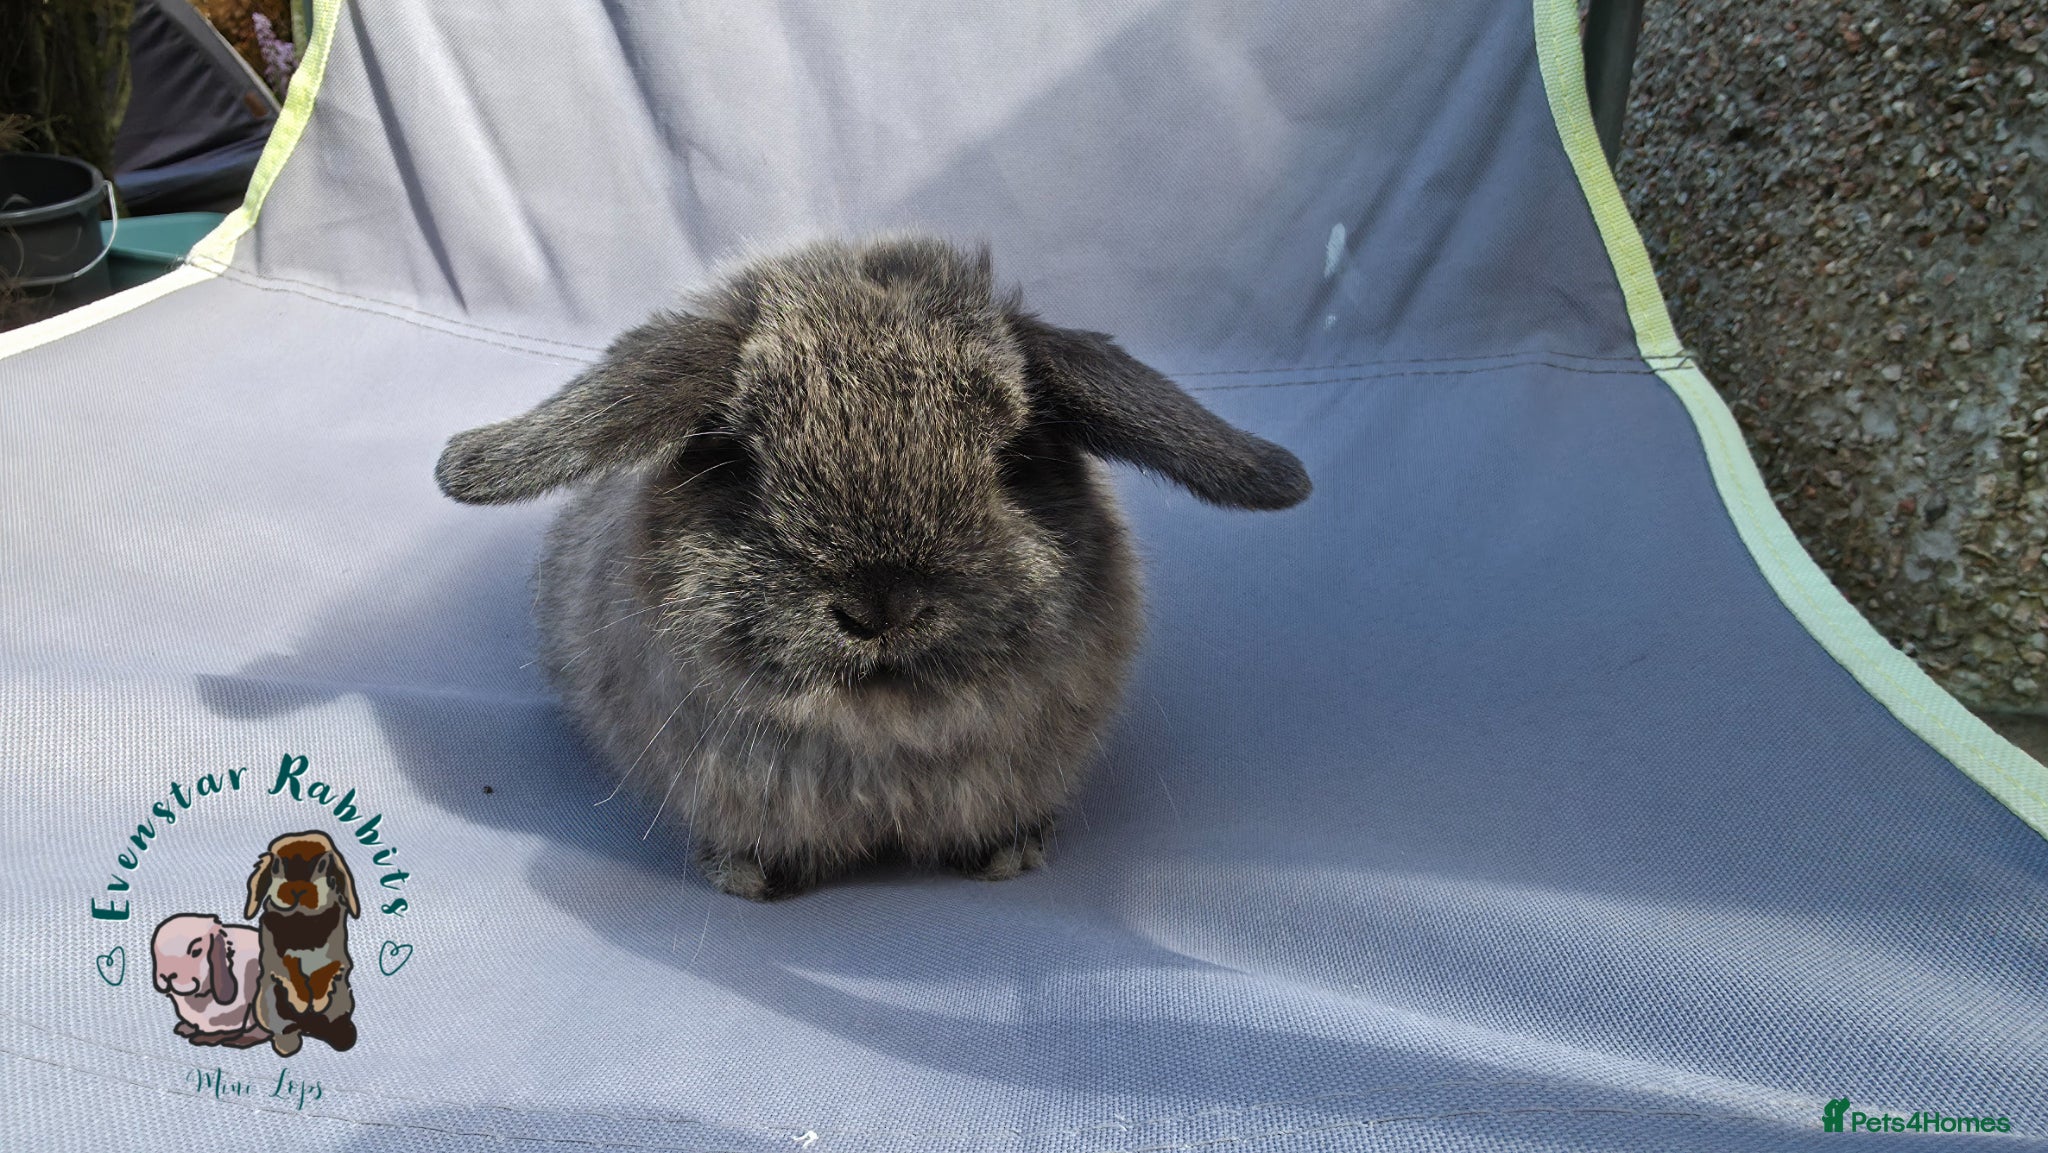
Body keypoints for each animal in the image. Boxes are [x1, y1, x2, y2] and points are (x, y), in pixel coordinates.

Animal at [436, 235, 1310, 900]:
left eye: (1015, 458)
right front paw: (749, 879)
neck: (881, 740)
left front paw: (1008, 855)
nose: (881, 605)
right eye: (736, 458)